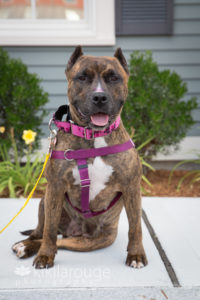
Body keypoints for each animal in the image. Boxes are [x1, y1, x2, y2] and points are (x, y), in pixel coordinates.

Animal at [12, 46, 147, 270]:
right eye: (82, 77)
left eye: (114, 78)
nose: (99, 97)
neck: (93, 136)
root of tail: (76, 231)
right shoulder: (55, 186)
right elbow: (49, 231)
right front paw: (45, 256)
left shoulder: (131, 186)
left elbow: (136, 226)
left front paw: (136, 254)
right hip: (44, 201)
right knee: (42, 233)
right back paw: (25, 245)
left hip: (92, 240)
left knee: (61, 241)